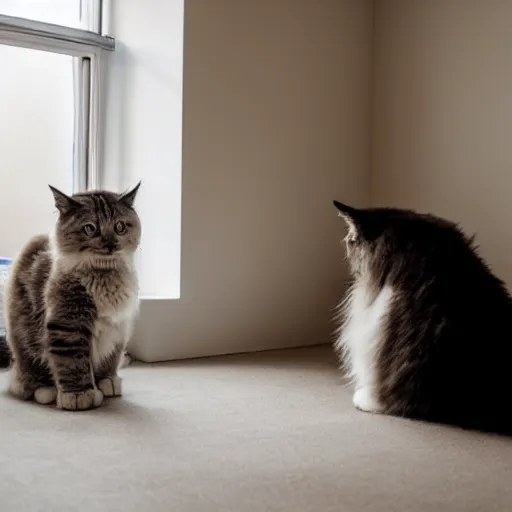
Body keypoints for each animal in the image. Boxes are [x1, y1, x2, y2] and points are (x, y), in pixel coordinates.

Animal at [3, 184, 142, 412]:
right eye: (90, 228)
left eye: (120, 226)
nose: (110, 244)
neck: (105, 277)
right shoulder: (68, 325)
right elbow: (73, 362)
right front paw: (78, 396)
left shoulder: (119, 326)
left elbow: (110, 358)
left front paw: (106, 380)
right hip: (24, 344)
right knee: (26, 382)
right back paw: (47, 391)